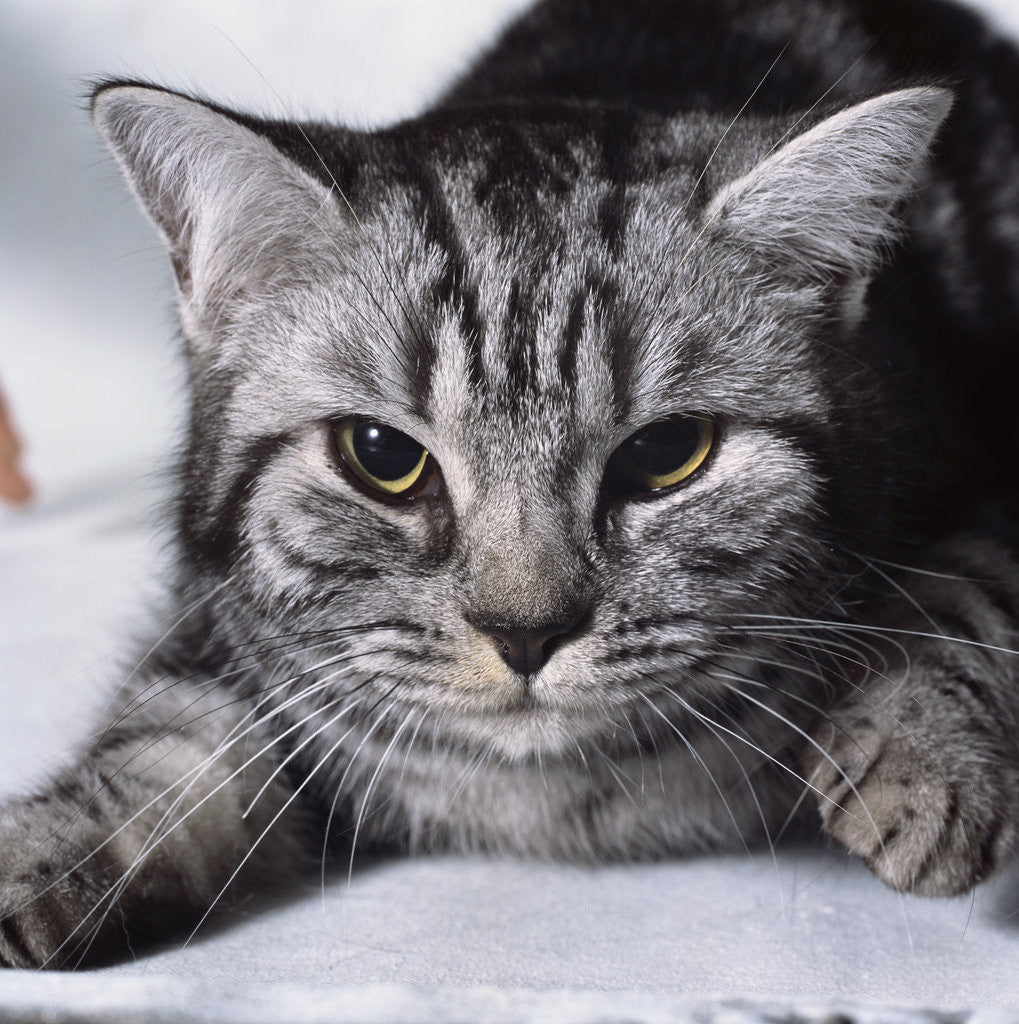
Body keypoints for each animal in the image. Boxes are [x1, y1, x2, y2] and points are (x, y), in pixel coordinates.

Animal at [1, 0, 1019, 966]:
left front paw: (923, 759)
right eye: (381, 455)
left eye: (666, 452)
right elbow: (163, 747)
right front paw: (38, 852)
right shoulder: (217, 627)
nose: (525, 634)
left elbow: (961, 593)